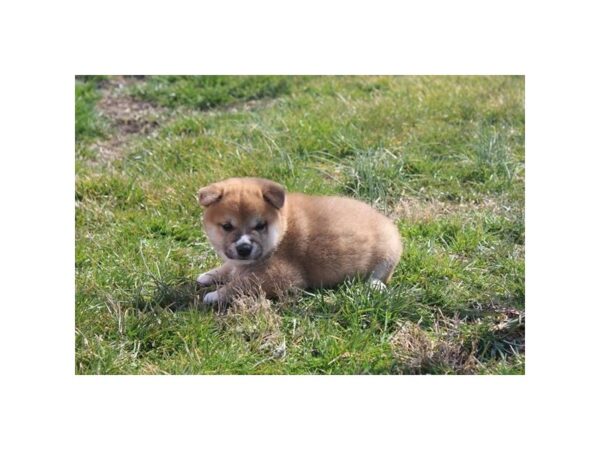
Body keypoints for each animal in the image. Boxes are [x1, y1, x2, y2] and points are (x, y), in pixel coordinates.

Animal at [197, 178, 404, 304]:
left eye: (260, 225)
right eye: (227, 226)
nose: (244, 248)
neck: (282, 229)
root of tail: (385, 219)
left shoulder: (281, 277)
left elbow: (241, 285)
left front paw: (215, 295)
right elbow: (228, 268)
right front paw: (208, 275)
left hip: (388, 253)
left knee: (381, 275)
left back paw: (375, 285)